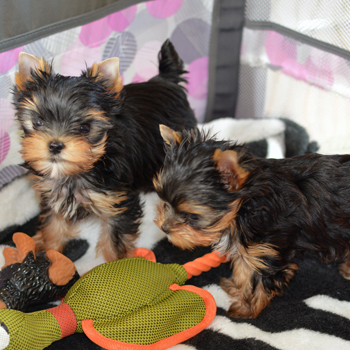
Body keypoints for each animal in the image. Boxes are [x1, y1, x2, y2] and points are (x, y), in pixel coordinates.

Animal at [13, 39, 197, 262]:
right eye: (38, 122)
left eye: (84, 128)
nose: (55, 145)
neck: (81, 170)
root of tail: (166, 80)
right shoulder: (53, 194)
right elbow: (53, 224)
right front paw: (48, 250)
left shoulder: (118, 201)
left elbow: (115, 240)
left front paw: (116, 265)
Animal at [154, 125, 350, 318]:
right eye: (165, 202)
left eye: (192, 216)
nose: (164, 228)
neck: (245, 207)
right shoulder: (249, 248)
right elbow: (244, 270)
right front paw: (238, 289)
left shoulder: (266, 252)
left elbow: (260, 282)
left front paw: (245, 310)